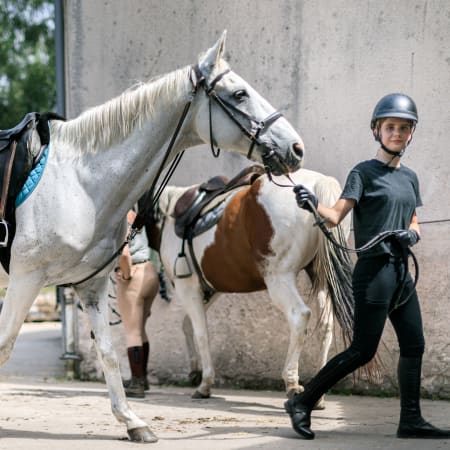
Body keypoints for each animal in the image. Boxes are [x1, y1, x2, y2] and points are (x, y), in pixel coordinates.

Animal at [0, 32, 306, 442]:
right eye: (240, 94)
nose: (295, 148)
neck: (78, 183)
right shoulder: (26, 279)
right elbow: (5, 346)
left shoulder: (90, 285)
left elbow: (109, 353)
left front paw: (133, 421)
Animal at [146, 168, 354, 404]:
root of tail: (318, 182)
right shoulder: (211, 289)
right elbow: (188, 325)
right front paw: (194, 370)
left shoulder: (187, 287)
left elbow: (201, 333)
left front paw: (205, 383)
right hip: (320, 276)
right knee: (326, 325)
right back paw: (317, 396)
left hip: (278, 278)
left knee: (300, 316)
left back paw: (292, 383)